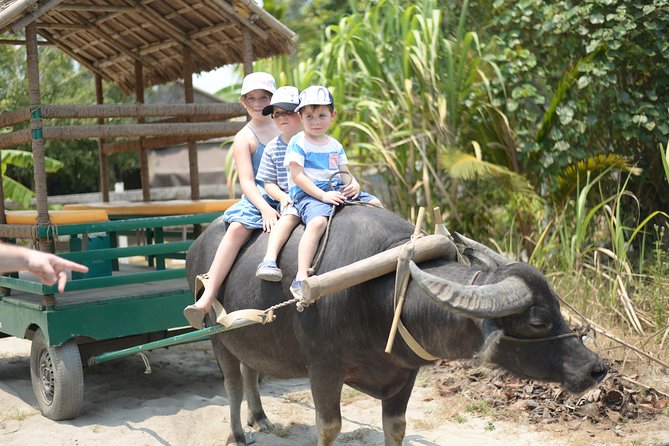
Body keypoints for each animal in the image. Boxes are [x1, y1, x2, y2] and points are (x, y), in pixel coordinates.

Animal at [184, 204, 604, 444]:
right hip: (216, 336)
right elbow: (329, 427)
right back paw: (238, 434)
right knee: (233, 383)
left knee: (251, 371)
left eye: (558, 307)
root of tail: (196, 244)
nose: (597, 368)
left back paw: (261, 419)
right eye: (538, 321)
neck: (382, 295)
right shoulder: (323, 369)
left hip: (247, 334)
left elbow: (396, 426)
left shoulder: (405, 372)